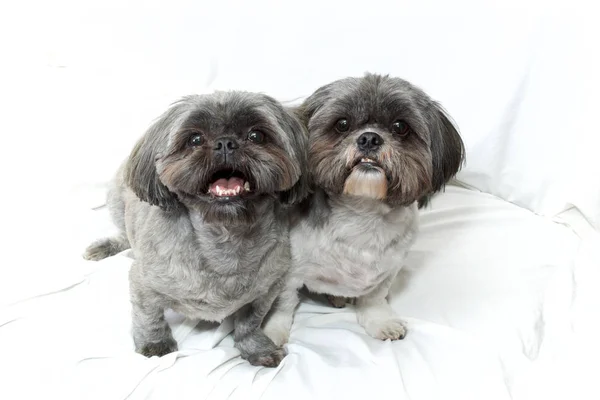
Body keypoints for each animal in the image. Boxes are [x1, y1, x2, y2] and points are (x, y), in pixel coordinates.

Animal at [84, 90, 308, 366]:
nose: (225, 143)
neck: (225, 240)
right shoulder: (142, 282)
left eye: (256, 135)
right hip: (116, 200)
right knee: (124, 234)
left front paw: (256, 348)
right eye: (195, 139)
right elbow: (148, 316)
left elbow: (249, 323)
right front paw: (155, 344)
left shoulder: (267, 289)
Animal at [262, 73, 464, 346]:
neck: (362, 215)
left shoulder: (389, 270)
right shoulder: (290, 272)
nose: (369, 138)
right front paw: (273, 332)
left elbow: (374, 298)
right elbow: (283, 304)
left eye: (400, 126)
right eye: (342, 124)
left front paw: (381, 321)